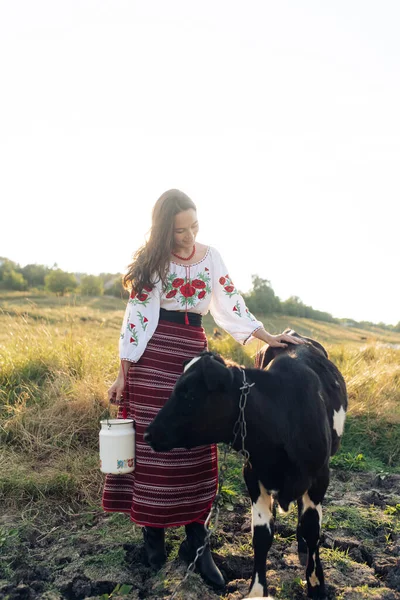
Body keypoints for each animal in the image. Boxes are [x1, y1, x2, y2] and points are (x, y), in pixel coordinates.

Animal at [145, 336, 346, 596]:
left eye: (188, 394)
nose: (148, 434)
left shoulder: (320, 477)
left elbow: (312, 530)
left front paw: (316, 586)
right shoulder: (253, 474)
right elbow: (261, 534)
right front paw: (257, 592)